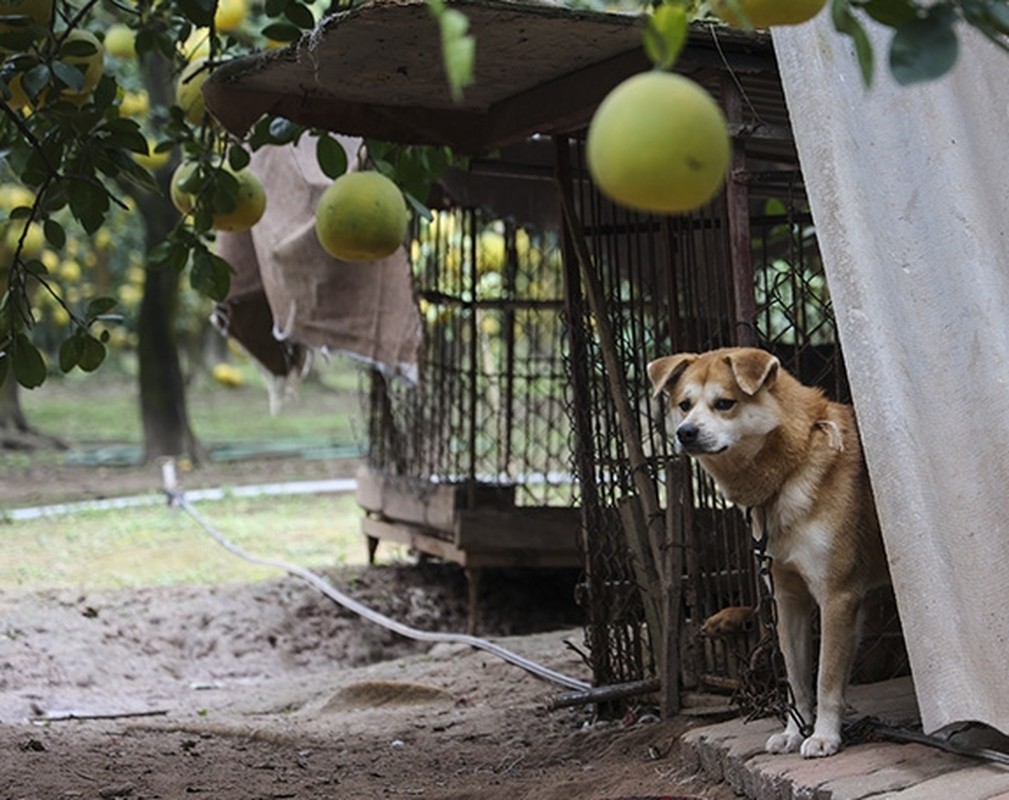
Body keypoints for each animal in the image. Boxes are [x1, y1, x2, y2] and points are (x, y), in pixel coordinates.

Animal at [645, 347, 891, 758]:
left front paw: (823, 735)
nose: (686, 432)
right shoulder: (787, 598)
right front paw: (794, 731)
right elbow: (795, 679)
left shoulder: (837, 596)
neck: (790, 469)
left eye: (724, 403)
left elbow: (825, 679)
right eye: (684, 405)